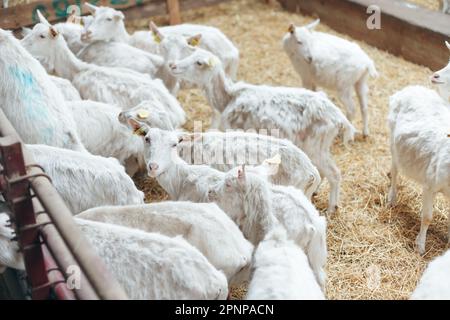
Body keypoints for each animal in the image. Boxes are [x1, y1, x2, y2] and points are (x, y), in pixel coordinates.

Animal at [169, 50, 356, 214]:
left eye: (199, 62)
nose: (173, 65)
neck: (228, 98)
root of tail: (339, 117)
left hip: (316, 146)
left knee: (334, 173)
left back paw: (332, 208)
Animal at [388, 85, 448, 255]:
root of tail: (410, 88)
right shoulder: (430, 185)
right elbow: (427, 217)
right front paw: (420, 246)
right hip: (393, 143)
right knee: (395, 170)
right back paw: (391, 198)